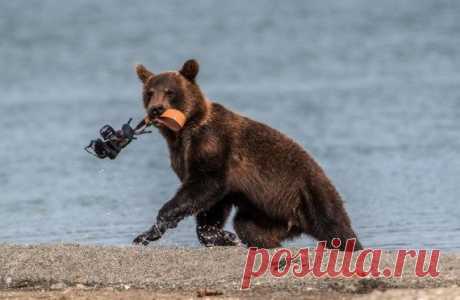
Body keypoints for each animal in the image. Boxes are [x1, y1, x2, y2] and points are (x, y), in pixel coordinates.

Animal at [131, 59, 362, 251]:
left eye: (169, 91)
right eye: (149, 92)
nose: (156, 109)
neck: (184, 130)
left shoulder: (213, 145)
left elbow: (205, 185)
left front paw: (161, 221)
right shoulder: (183, 156)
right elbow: (212, 205)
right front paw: (222, 236)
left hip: (310, 192)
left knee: (334, 226)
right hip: (268, 213)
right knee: (248, 227)